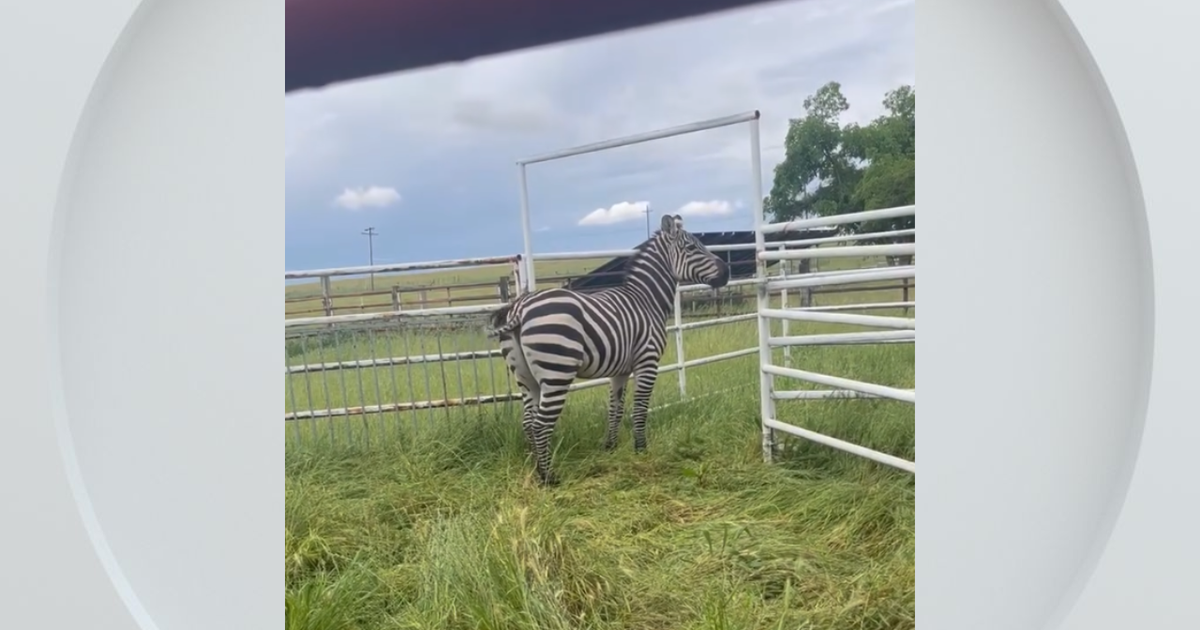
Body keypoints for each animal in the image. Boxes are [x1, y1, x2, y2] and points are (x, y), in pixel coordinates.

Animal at [489, 214, 730, 485]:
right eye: (691, 248)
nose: (727, 272)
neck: (647, 301)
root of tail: (519, 306)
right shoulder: (648, 362)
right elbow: (639, 409)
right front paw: (641, 450)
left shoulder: (619, 371)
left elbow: (616, 409)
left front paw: (610, 446)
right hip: (557, 371)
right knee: (540, 424)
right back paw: (549, 477)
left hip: (524, 376)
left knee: (528, 422)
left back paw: (535, 468)